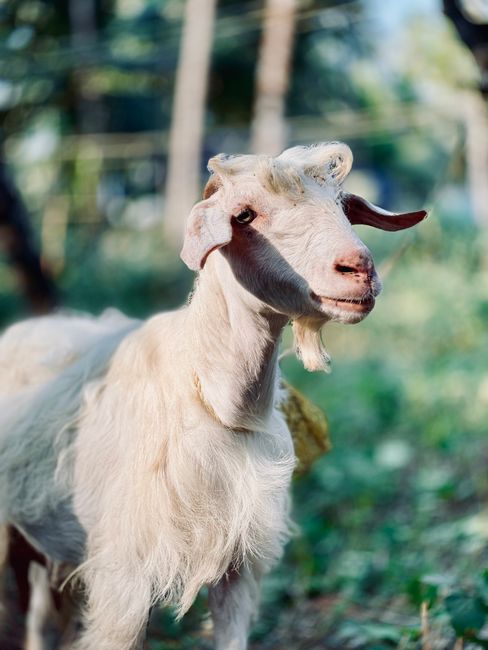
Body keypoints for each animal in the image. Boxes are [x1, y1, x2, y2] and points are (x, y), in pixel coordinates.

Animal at [0, 142, 426, 650]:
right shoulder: (124, 578)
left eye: (344, 207)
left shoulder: (239, 563)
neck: (213, 396)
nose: (359, 269)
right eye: (244, 215)